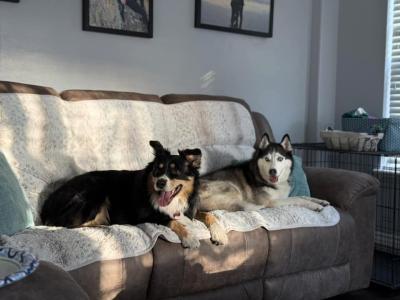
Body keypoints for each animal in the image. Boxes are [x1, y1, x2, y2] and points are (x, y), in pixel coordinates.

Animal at [198, 134, 332, 244]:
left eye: (280, 159)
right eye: (267, 159)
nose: (273, 171)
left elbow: (302, 196)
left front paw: (321, 201)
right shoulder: (272, 201)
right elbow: (298, 199)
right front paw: (315, 206)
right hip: (232, 189)